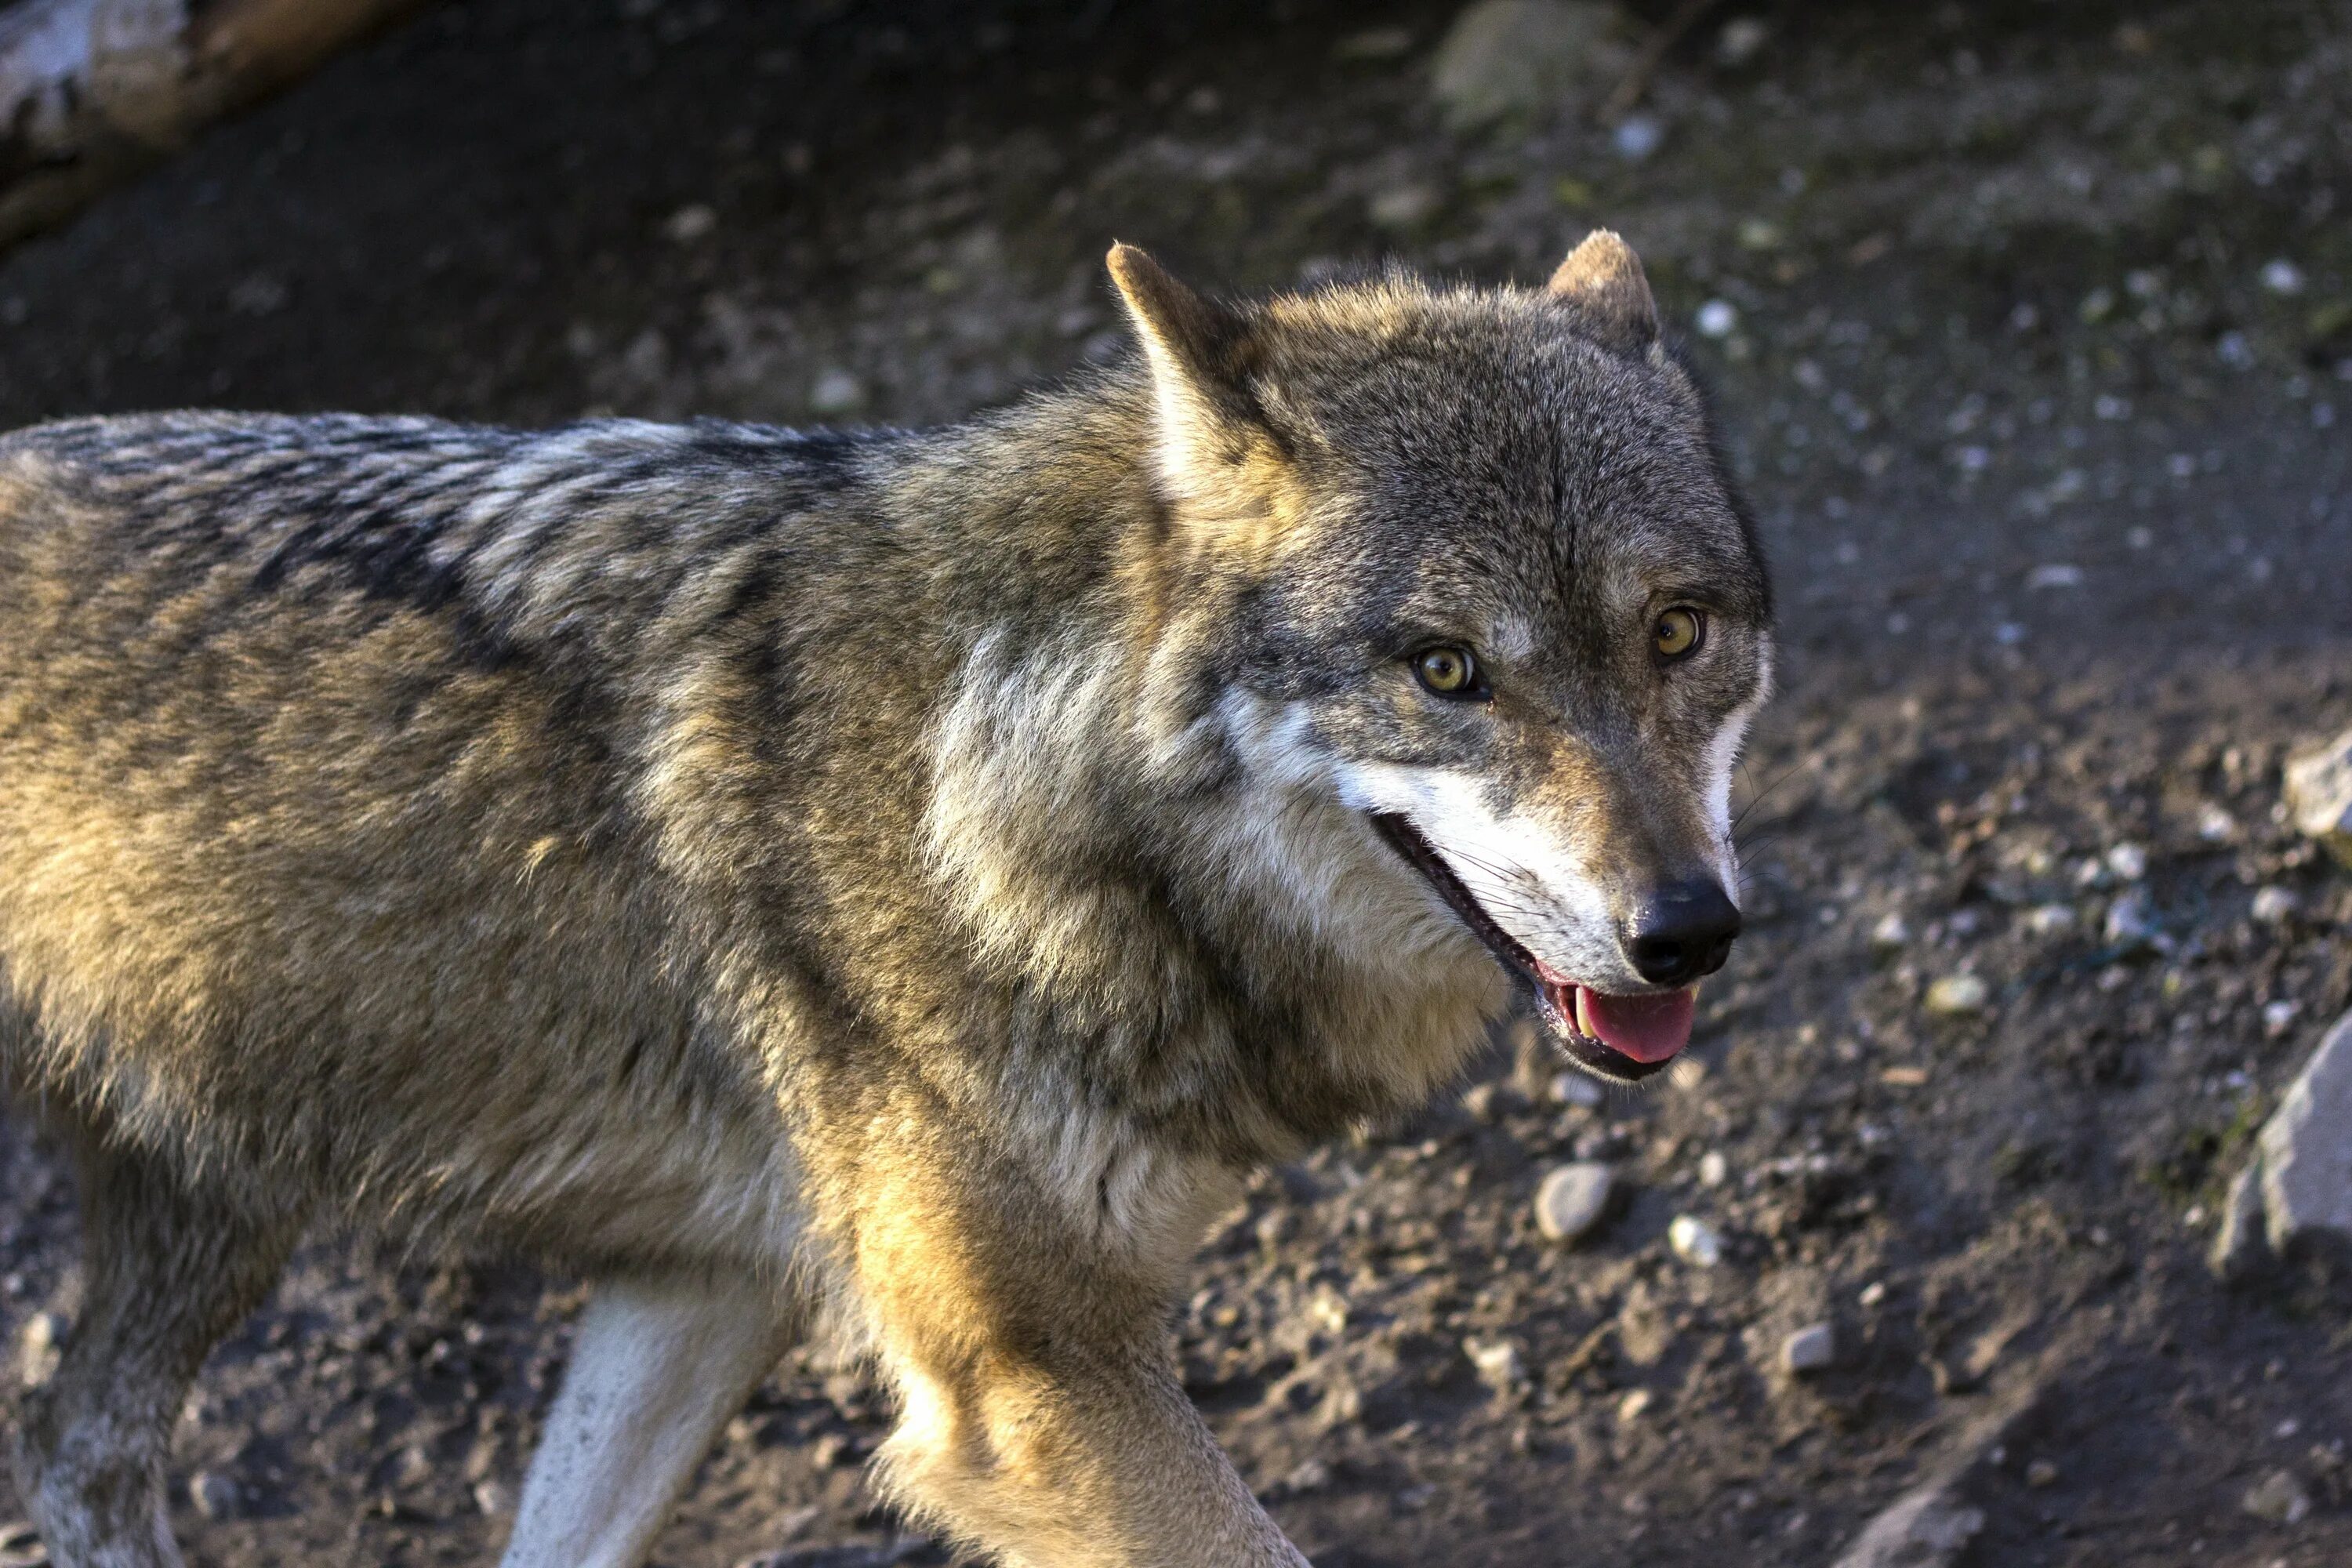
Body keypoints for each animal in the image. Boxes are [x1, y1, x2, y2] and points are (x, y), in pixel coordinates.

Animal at [0, 236, 1769, 1568]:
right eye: (1447, 671)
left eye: (1677, 632)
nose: (1687, 928)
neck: (999, 777)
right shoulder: (1034, 1386)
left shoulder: (703, 1290)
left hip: (214, 1216)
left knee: (77, 1457)